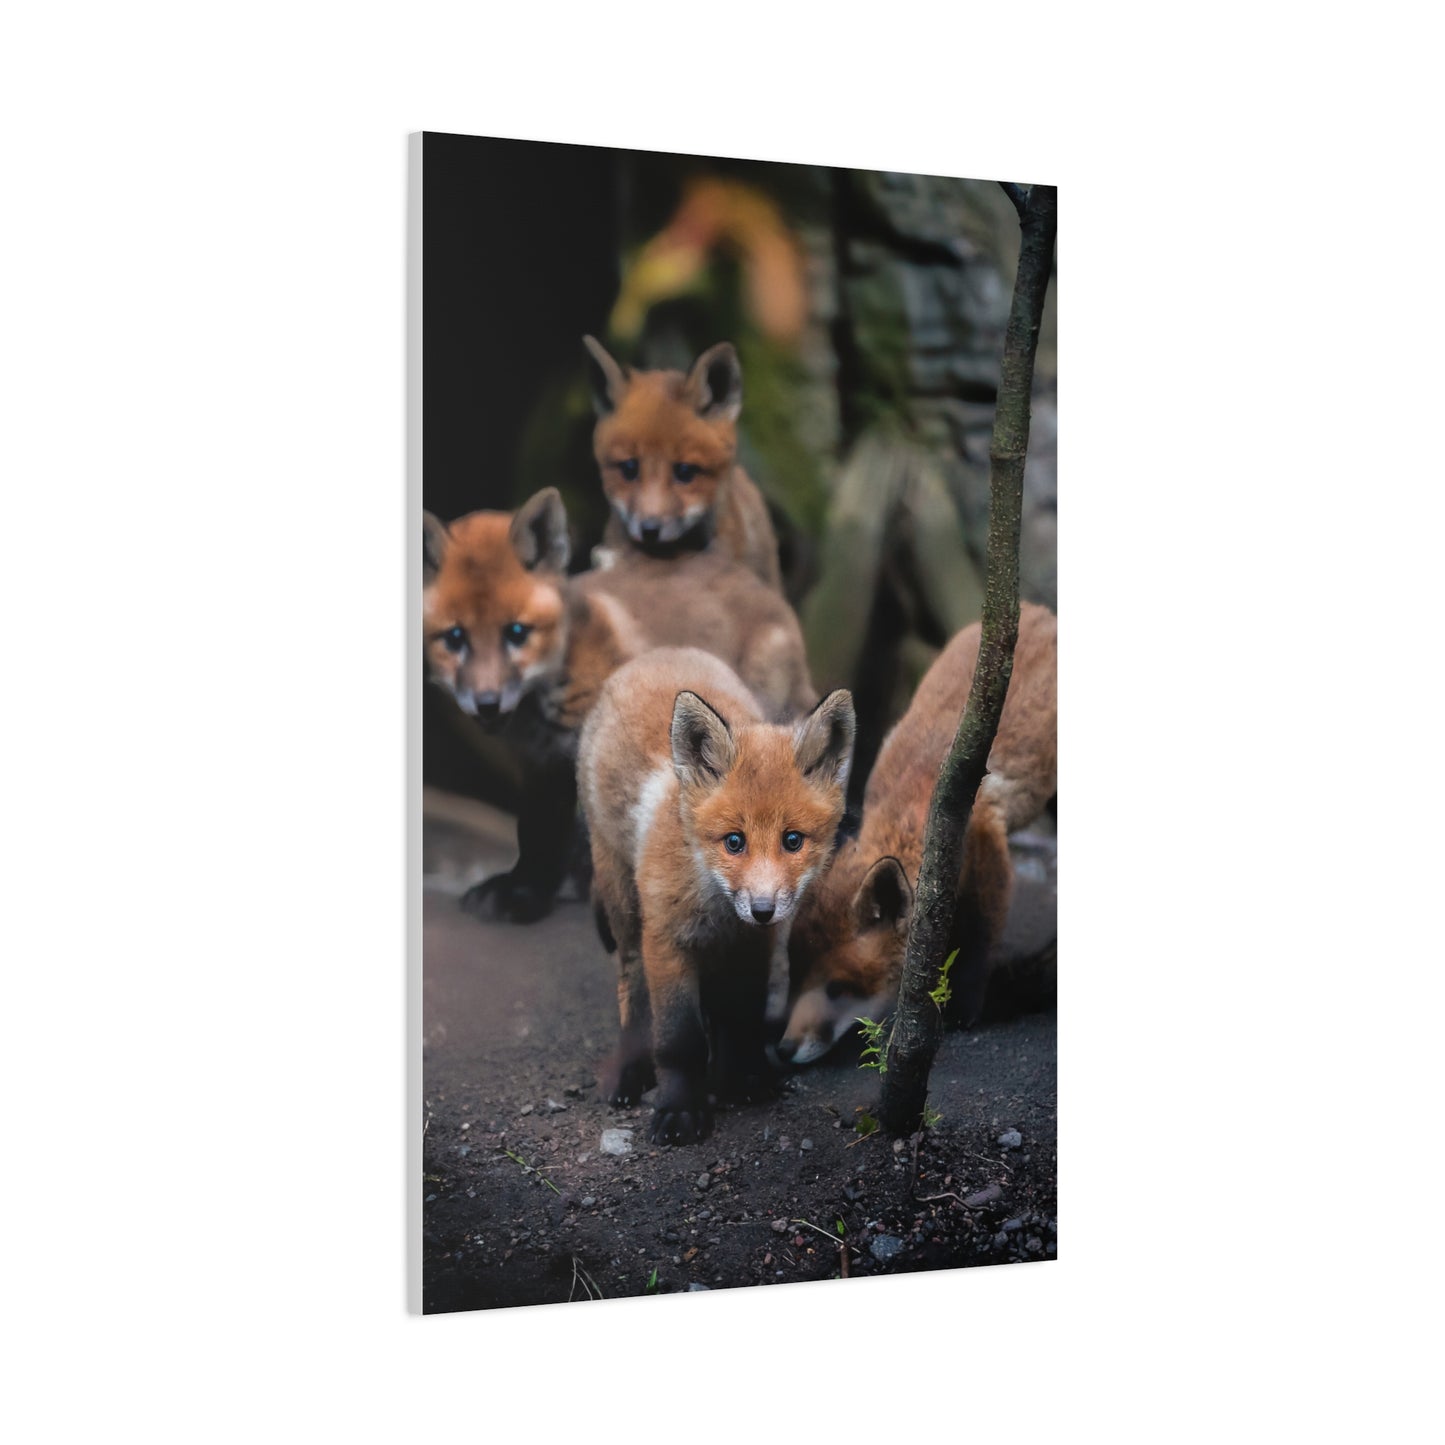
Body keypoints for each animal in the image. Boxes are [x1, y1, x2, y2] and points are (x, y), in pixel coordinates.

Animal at [423, 488, 817, 923]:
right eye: (455, 638)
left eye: (517, 633)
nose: (487, 704)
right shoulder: (542, 762)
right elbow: (536, 830)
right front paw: (524, 888)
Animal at [579, 646, 856, 1144]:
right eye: (734, 842)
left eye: (792, 841)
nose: (763, 909)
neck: (718, 910)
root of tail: (660, 653)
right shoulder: (666, 941)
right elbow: (677, 1039)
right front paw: (679, 1109)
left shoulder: (752, 948)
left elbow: (739, 1018)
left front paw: (742, 1080)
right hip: (624, 908)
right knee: (631, 987)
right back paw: (629, 1072)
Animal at [779, 602, 1058, 1065]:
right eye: (796, 978)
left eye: (838, 989)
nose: (783, 1049)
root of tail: (1037, 610)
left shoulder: (987, 847)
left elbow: (979, 939)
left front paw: (962, 1010)